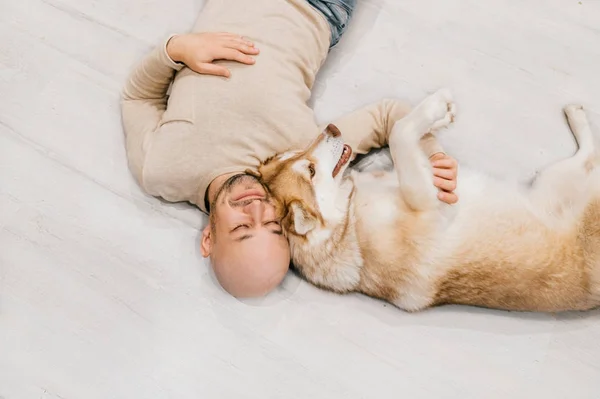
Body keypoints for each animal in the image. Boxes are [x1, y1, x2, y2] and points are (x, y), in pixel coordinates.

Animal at [254, 90, 600, 312]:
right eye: (311, 171)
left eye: (298, 153)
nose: (331, 127)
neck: (347, 218)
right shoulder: (429, 205)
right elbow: (399, 133)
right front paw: (433, 108)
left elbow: (407, 138)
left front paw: (437, 121)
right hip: (558, 178)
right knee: (590, 155)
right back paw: (578, 116)